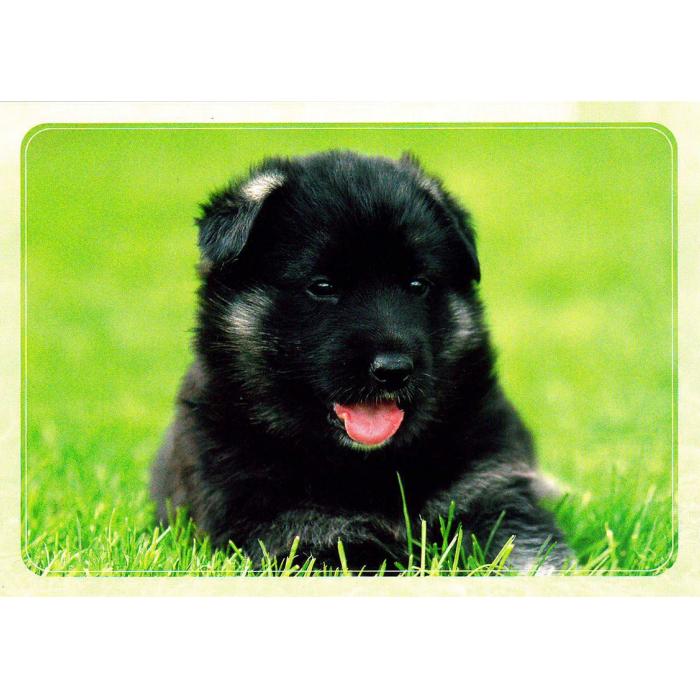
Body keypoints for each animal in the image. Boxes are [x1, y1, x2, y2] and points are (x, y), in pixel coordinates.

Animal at [151, 150, 572, 573]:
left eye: (417, 285)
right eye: (322, 287)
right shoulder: (294, 524)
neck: (371, 466)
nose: (393, 371)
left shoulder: (490, 489)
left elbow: (525, 551)